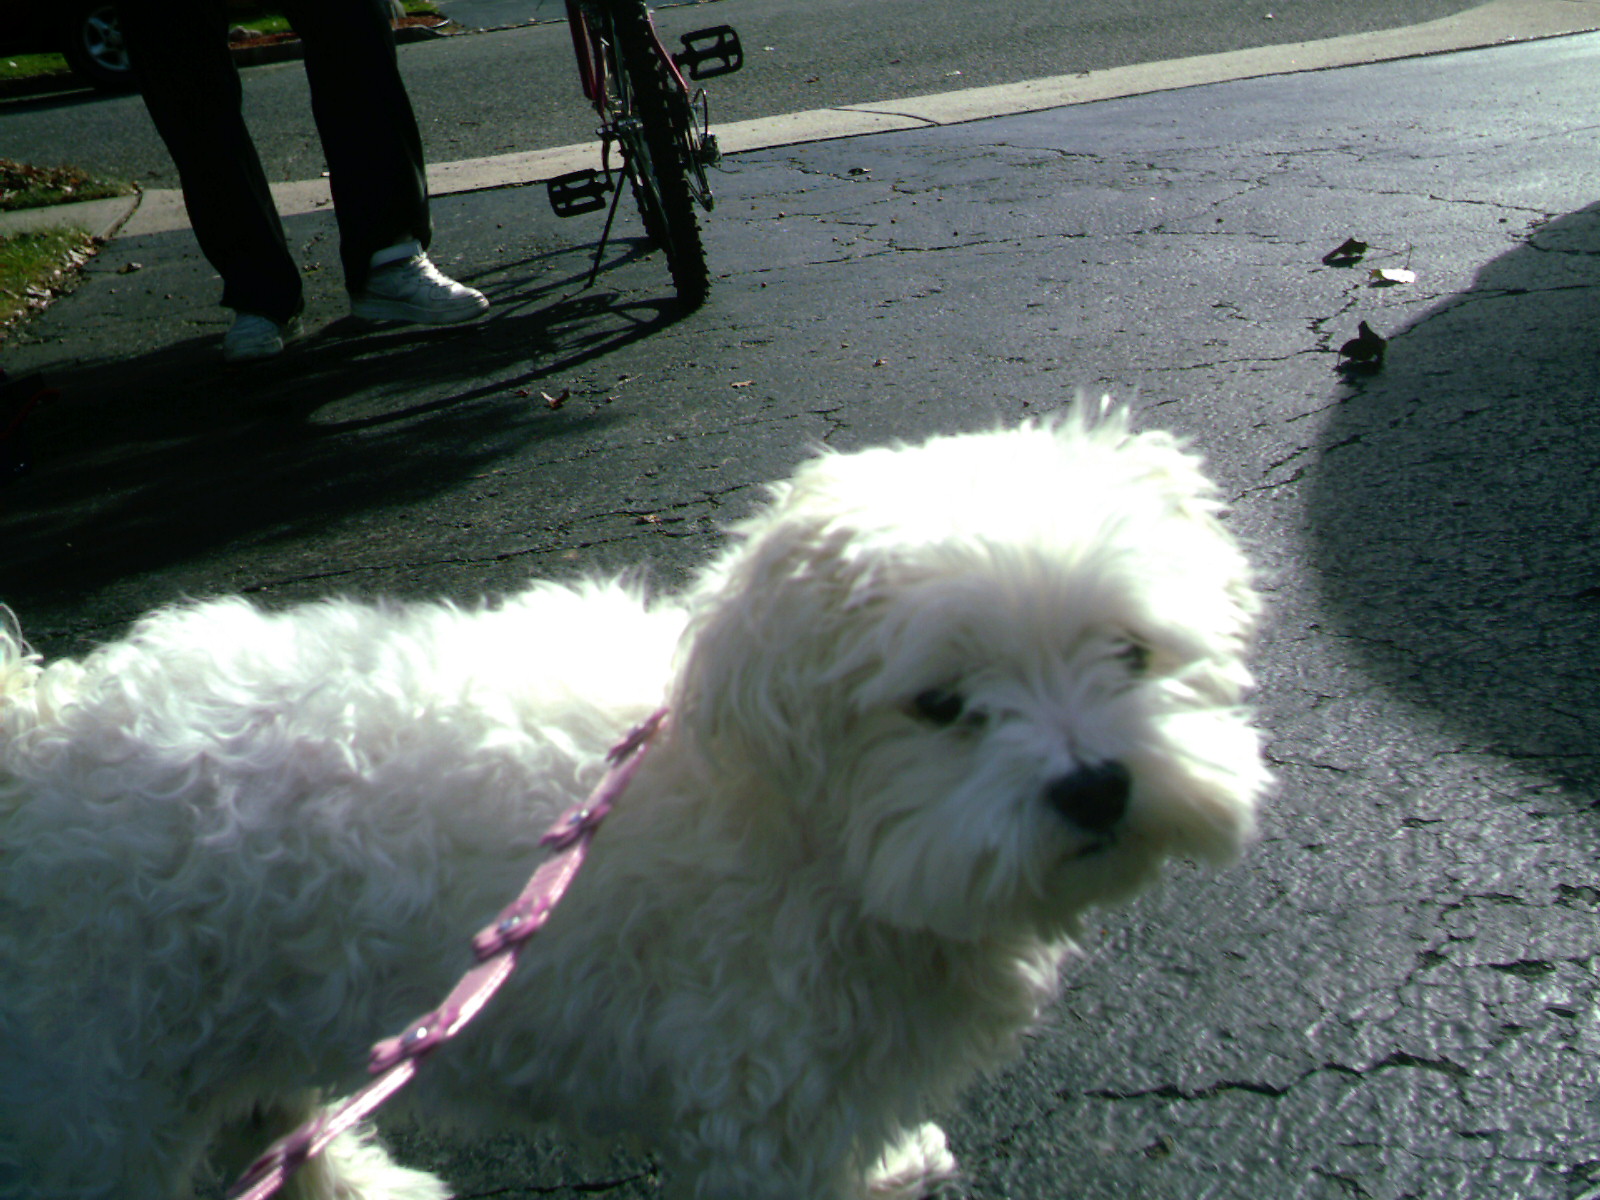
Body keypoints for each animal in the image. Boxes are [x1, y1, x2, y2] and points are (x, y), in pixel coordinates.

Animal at [0, 411, 1266, 1200]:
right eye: (940, 705)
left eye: (1129, 652)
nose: (1095, 785)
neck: (803, 831)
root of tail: (34, 725)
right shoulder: (762, 1099)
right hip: (94, 1085)